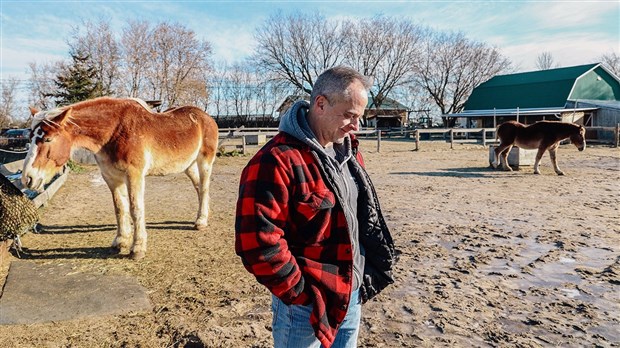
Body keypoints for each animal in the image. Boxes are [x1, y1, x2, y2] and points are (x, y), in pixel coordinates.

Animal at [22, 96, 220, 260]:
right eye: (30, 138)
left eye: (47, 139)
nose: (27, 179)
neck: (115, 131)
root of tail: (207, 118)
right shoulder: (111, 177)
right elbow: (119, 208)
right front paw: (121, 241)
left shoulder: (134, 175)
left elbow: (135, 209)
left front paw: (137, 248)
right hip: (188, 166)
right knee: (199, 188)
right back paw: (203, 215)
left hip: (204, 161)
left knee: (204, 188)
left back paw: (201, 221)